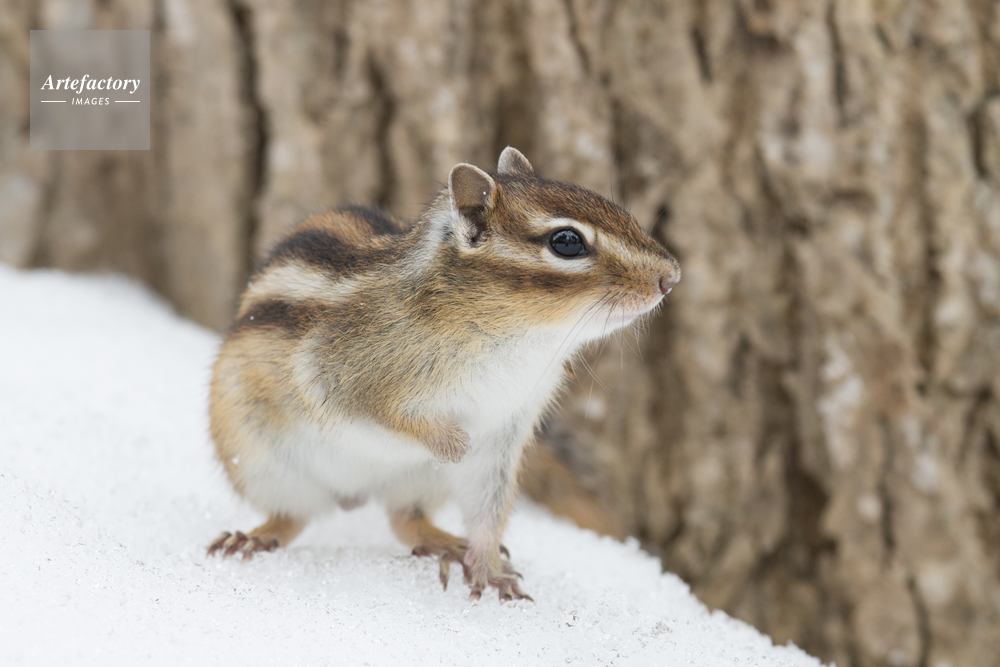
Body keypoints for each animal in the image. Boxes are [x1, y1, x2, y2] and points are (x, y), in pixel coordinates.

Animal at [206, 147, 680, 602]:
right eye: (566, 242)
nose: (671, 277)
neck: (523, 339)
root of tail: (353, 495)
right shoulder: (334, 371)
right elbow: (381, 413)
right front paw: (451, 443)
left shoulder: (503, 434)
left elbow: (488, 510)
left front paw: (489, 567)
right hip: (264, 465)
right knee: (292, 518)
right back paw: (252, 538)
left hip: (416, 484)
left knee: (404, 519)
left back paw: (447, 545)